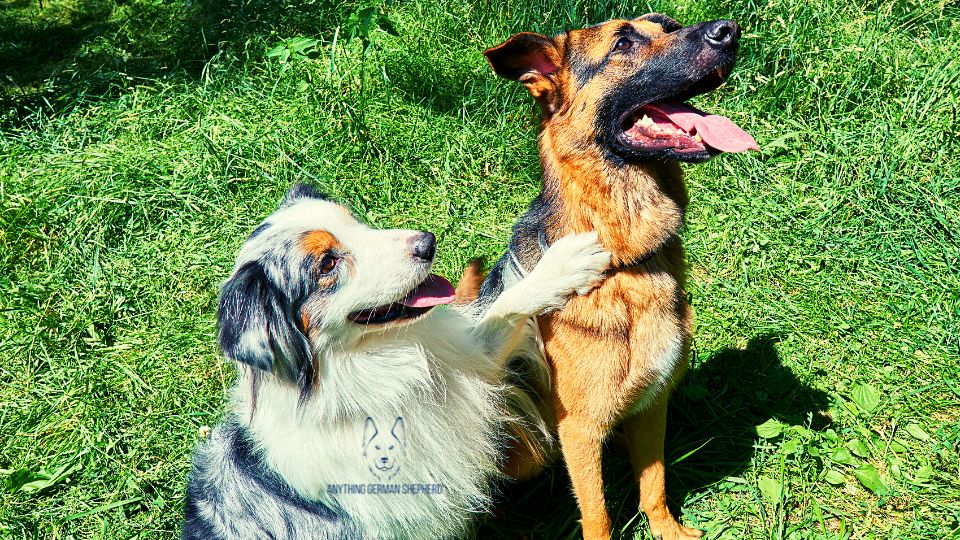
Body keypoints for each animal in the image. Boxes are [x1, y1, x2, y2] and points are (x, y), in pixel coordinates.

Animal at [478, 11, 756, 540]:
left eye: (668, 24)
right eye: (623, 43)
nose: (729, 29)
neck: (626, 262)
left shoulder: (652, 403)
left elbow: (655, 484)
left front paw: (669, 530)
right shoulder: (580, 430)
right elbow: (600, 516)